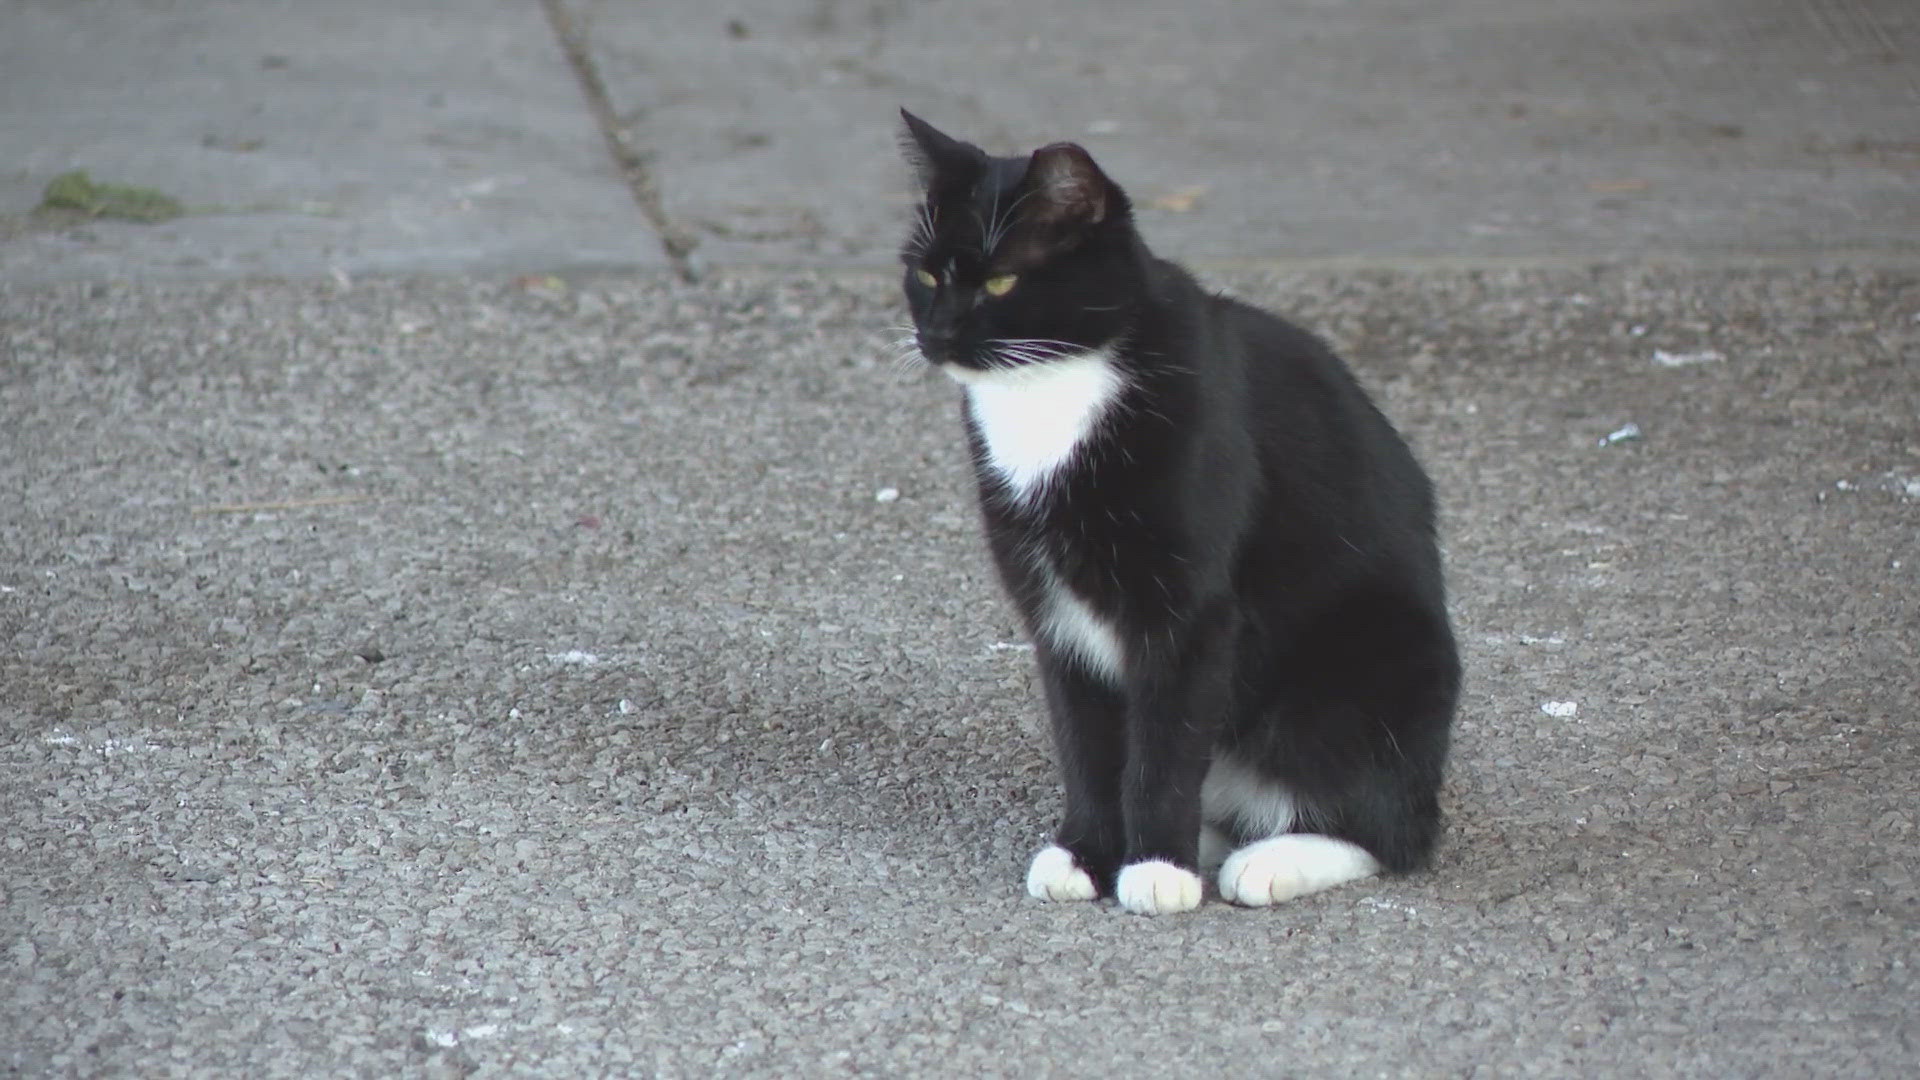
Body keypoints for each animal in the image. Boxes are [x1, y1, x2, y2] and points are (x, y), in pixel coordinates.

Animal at [890, 113, 1459, 910]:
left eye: (1001, 279)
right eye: (926, 274)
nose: (935, 335)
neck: (1057, 384)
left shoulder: (1191, 612)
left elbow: (1165, 744)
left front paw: (1158, 865)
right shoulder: (1056, 609)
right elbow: (1089, 743)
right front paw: (1089, 853)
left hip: (1372, 666)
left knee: (1391, 829)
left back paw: (1268, 860)